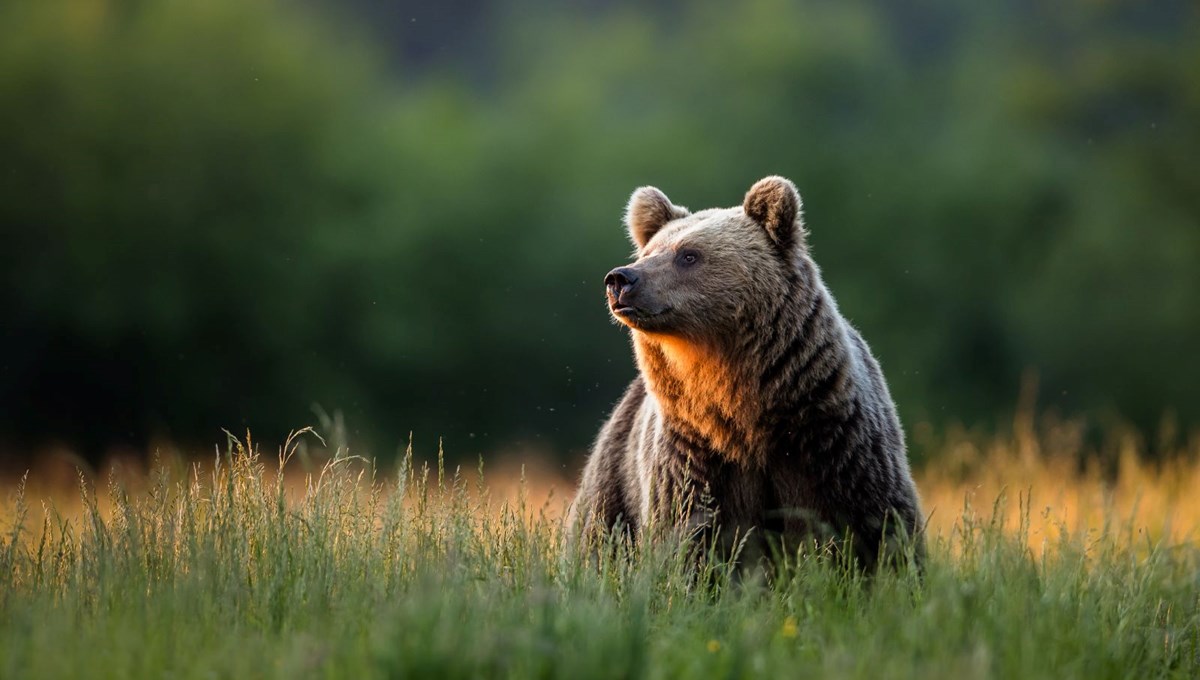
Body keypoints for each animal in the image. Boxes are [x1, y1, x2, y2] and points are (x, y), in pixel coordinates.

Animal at [566, 177, 921, 575]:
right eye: (648, 252)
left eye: (688, 255)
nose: (621, 279)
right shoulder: (694, 456)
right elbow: (688, 540)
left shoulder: (833, 442)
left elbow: (879, 527)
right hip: (613, 481)